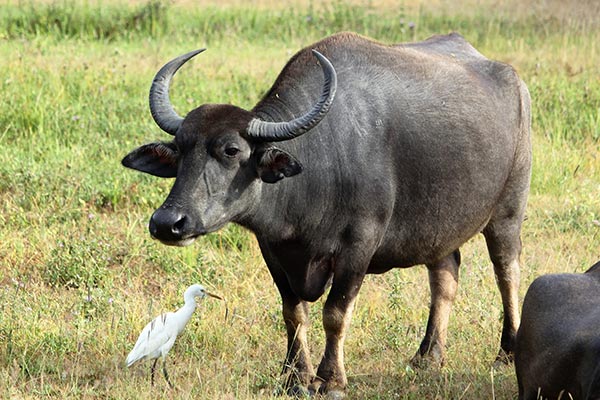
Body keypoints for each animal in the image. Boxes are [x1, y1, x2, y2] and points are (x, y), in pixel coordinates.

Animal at [120, 32, 528, 396]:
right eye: (180, 148)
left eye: (231, 150)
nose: (167, 223)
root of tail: (514, 81)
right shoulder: (274, 250)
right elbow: (292, 312)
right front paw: (293, 376)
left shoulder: (358, 247)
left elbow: (334, 313)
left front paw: (330, 379)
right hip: (439, 229)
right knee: (444, 278)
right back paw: (427, 357)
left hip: (508, 211)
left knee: (506, 273)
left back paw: (506, 352)